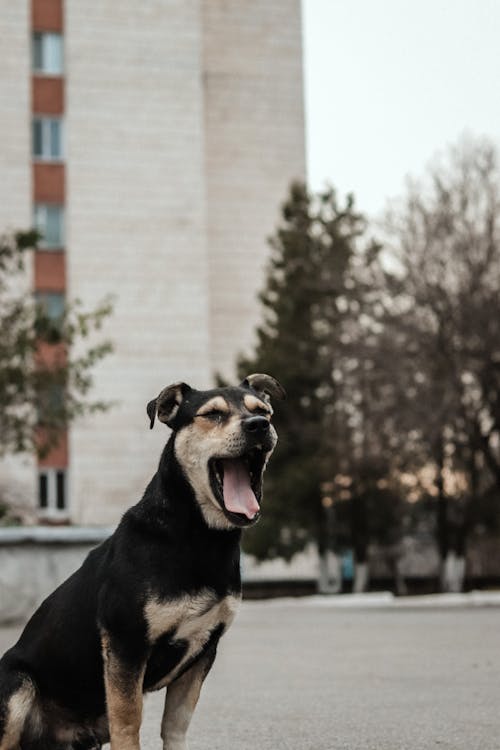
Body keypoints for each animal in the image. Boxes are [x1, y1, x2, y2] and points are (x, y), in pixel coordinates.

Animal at [0, 374, 284, 748]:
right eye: (213, 415)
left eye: (263, 410)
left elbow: (176, 723)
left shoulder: (203, 651)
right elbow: (128, 721)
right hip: (16, 685)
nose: (258, 425)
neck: (198, 535)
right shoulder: (126, 643)